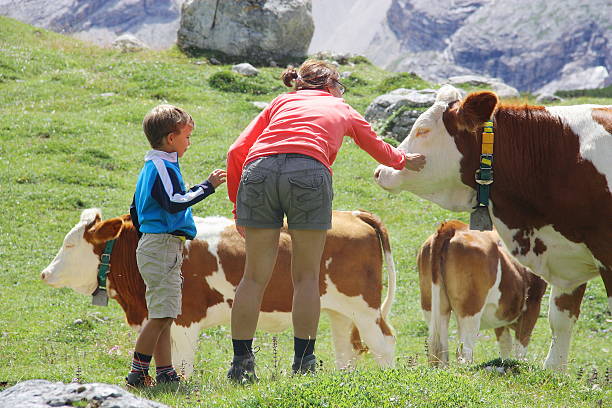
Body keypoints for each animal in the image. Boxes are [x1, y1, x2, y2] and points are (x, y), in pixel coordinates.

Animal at [41, 209, 396, 378]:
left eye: (69, 244)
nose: (45, 273)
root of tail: (353, 214)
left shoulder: (185, 318)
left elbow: (183, 361)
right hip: (340, 311)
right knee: (346, 350)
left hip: (365, 309)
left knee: (383, 343)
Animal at [418, 220, 548, 366]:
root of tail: (454, 226)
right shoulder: (532, 304)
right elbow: (520, 347)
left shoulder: (501, 315)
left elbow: (505, 344)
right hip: (471, 309)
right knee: (464, 350)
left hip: (432, 307)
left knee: (440, 351)